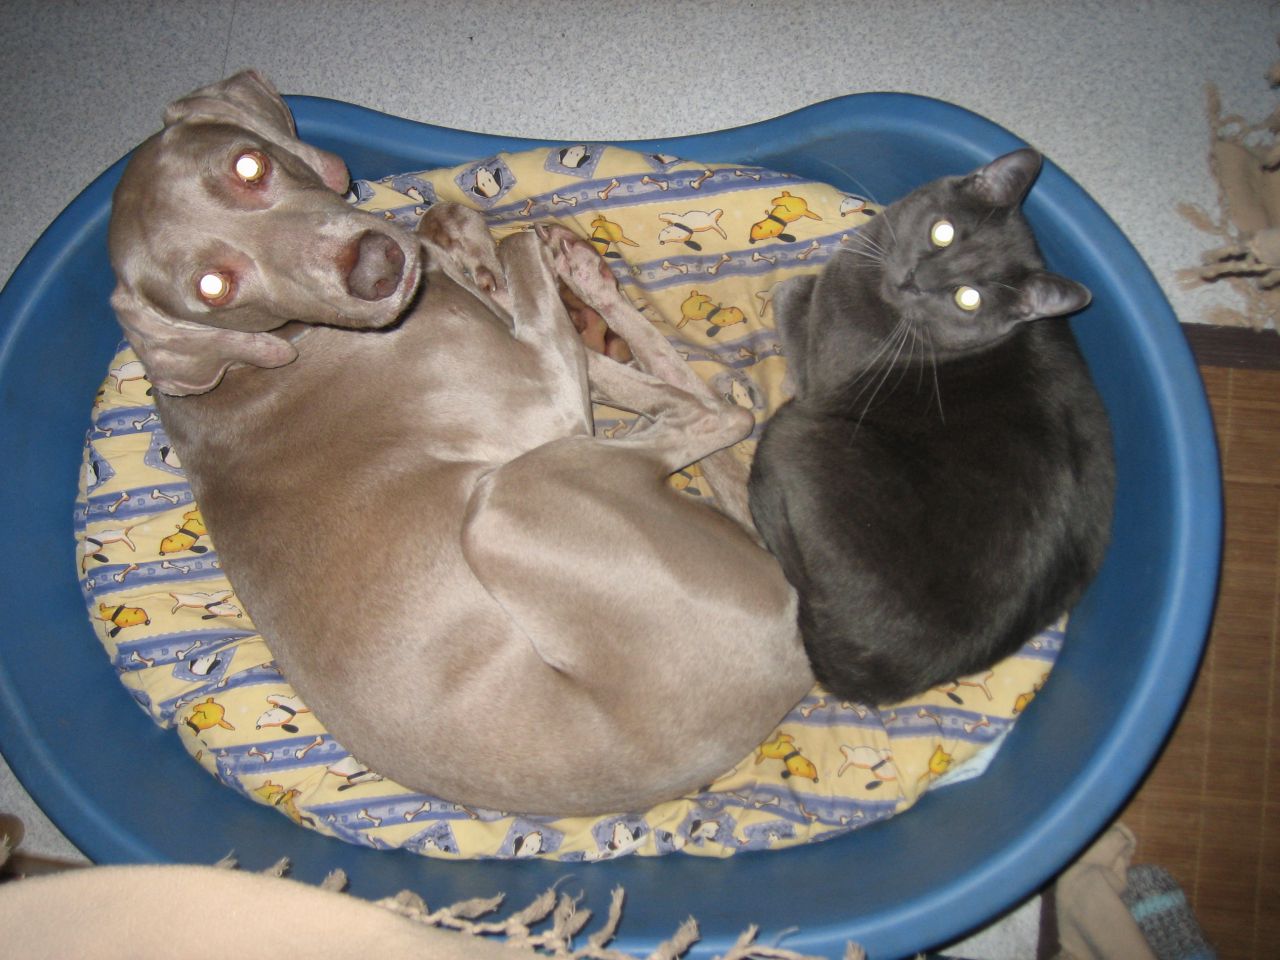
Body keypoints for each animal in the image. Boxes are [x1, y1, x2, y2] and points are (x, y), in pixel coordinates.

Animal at [106, 71, 812, 816]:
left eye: (249, 166)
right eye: (212, 285)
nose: (374, 268)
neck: (261, 356)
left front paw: (456, 236)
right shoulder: (543, 404)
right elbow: (532, 281)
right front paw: (496, 249)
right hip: (508, 499)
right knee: (713, 415)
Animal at [747, 148, 1115, 705]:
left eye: (968, 298)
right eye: (943, 233)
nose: (915, 280)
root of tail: (872, 678)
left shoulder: (818, 368)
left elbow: (790, 293)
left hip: (800, 433)